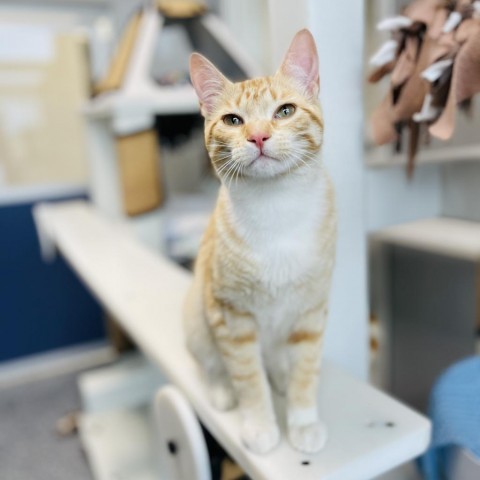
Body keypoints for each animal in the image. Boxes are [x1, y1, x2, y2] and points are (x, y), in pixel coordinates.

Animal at [184, 29, 338, 454]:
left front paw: (303, 423)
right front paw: (260, 425)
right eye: (233, 120)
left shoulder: (310, 310)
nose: (257, 136)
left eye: (284, 111)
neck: (277, 209)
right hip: (198, 318)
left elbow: (306, 372)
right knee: (212, 364)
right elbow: (249, 380)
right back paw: (222, 390)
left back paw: (281, 376)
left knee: (279, 363)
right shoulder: (232, 318)